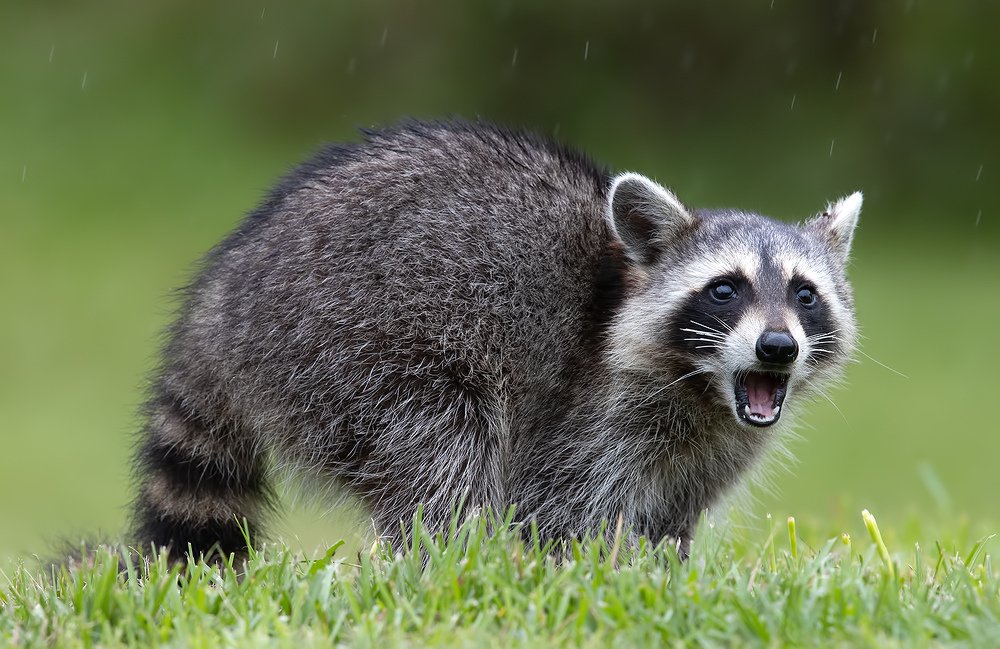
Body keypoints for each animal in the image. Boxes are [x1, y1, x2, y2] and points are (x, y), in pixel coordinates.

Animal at [131, 120, 860, 560]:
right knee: (443, 451)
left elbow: (671, 520)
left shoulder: (712, 449)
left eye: (804, 294)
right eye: (725, 290)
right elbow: (560, 505)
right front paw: (590, 569)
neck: (703, 389)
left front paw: (660, 568)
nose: (777, 348)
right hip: (354, 348)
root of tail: (224, 291)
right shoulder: (588, 409)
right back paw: (458, 560)